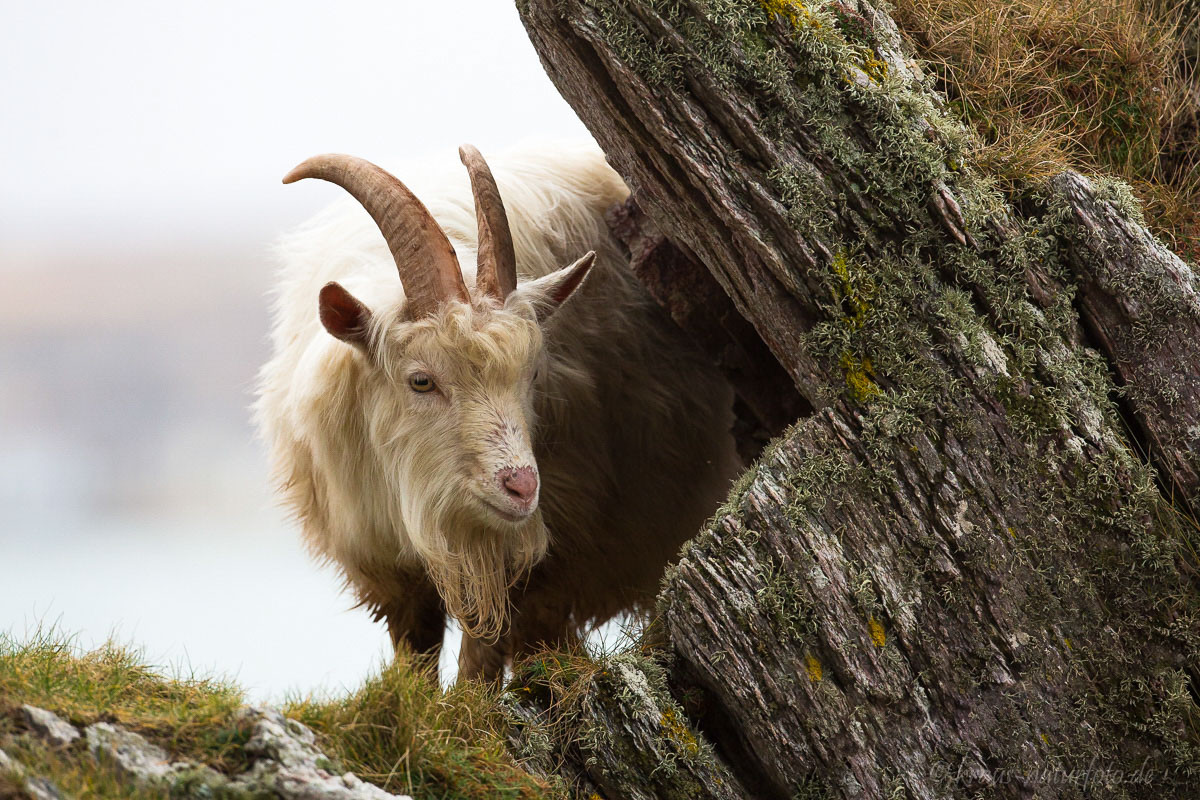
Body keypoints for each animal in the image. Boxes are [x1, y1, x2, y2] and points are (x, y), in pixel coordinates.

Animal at [256, 143, 739, 681]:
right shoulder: (388, 570)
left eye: (532, 375)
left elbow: (487, 657)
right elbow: (415, 661)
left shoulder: (543, 560)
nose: (522, 486)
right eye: (421, 380)